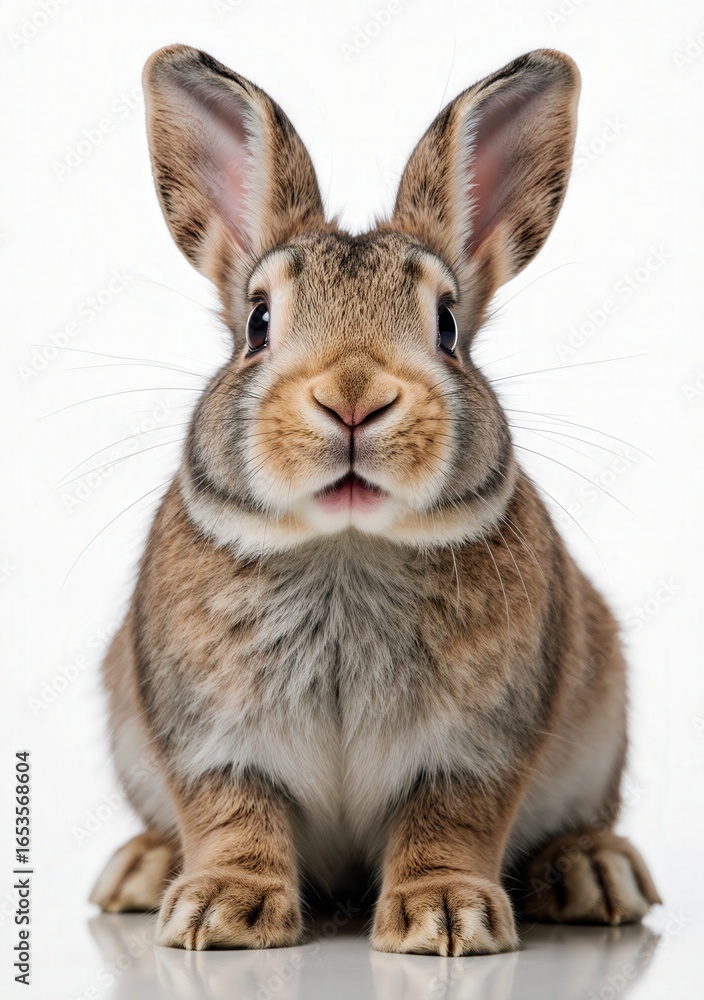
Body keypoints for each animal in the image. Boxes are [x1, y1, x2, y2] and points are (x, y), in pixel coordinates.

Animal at [89, 44, 661, 955]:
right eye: (257, 323)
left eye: (448, 326)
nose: (353, 395)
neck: (345, 545)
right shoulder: (211, 742)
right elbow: (232, 814)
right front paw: (220, 912)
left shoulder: (474, 751)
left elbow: (449, 822)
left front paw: (446, 918)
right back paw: (142, 871)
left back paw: (593, 873)